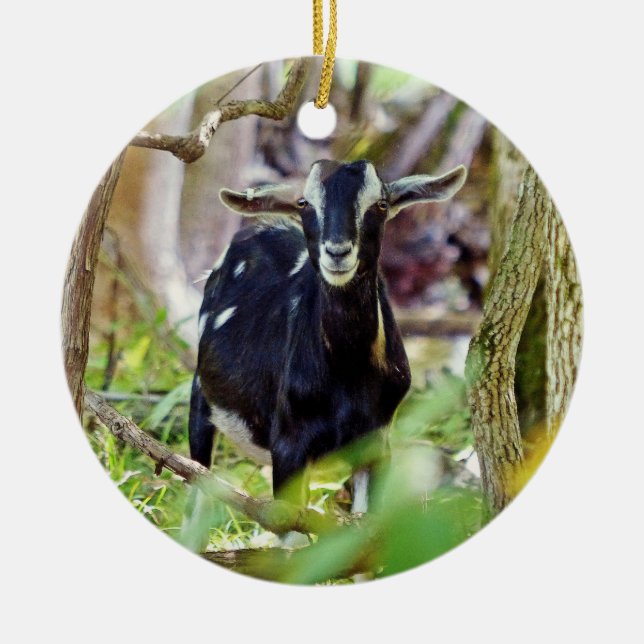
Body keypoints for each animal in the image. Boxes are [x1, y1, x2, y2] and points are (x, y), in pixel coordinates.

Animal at [189, 159, 467, 512]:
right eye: (304, 203)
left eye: (381, 204)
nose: (337, 252)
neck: (348, 375)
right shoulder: (289, 445)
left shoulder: (376, 441)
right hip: (200, 395)